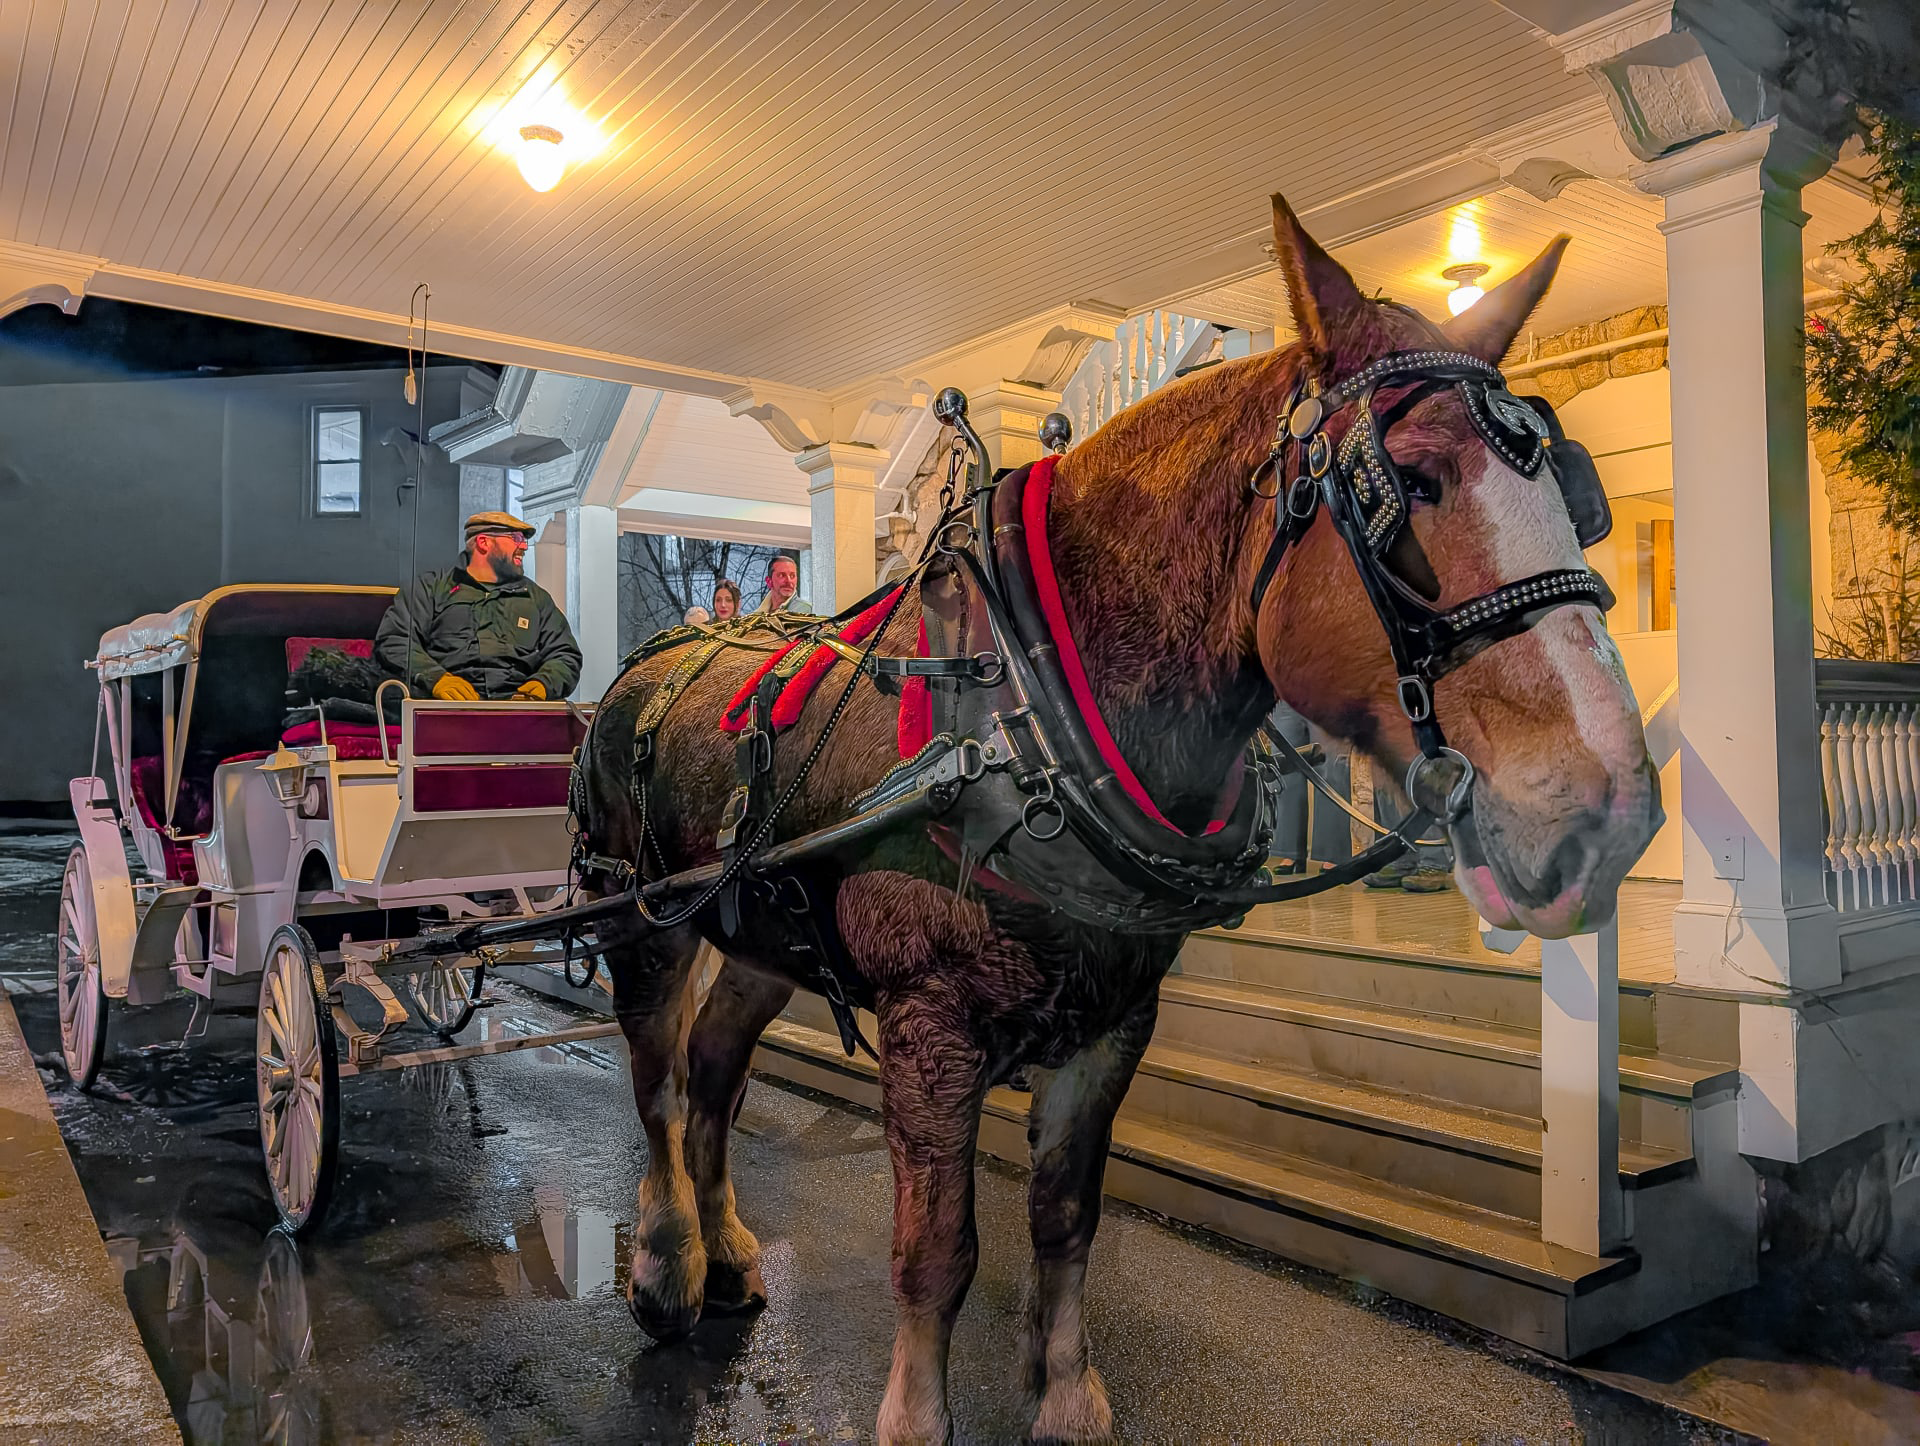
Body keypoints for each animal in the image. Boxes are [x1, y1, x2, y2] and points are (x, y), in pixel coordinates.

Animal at [575, 193, 1662, 1444]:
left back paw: (730, 1254)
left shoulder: (1112, 1020)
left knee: (711, 1075)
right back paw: (666, 1268)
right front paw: (916, 1418)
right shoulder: (931, 1026)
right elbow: (935, 1251)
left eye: (1572, 492)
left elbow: (1066, 1219)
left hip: (763, 938)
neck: (1031, 712)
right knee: (656, 1084)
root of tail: (644, 664)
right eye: (1414, 483)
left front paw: (1065, 1397)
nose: (1609, 802)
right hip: (640, 921)